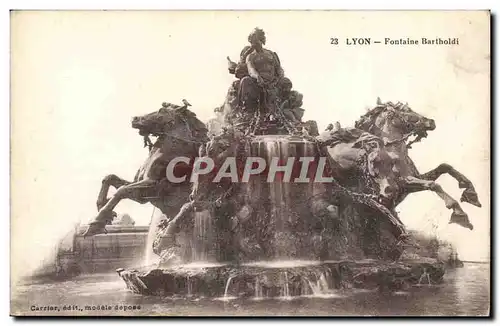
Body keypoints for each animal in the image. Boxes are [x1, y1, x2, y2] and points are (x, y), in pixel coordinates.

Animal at [356, 98, 480, 230]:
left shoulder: (415, 178)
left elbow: (444, 167)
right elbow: (433, 184)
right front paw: (460, 214)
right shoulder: (403, 182)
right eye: (407, 110)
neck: (394, 153)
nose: (431, 122)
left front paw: (471, 194)